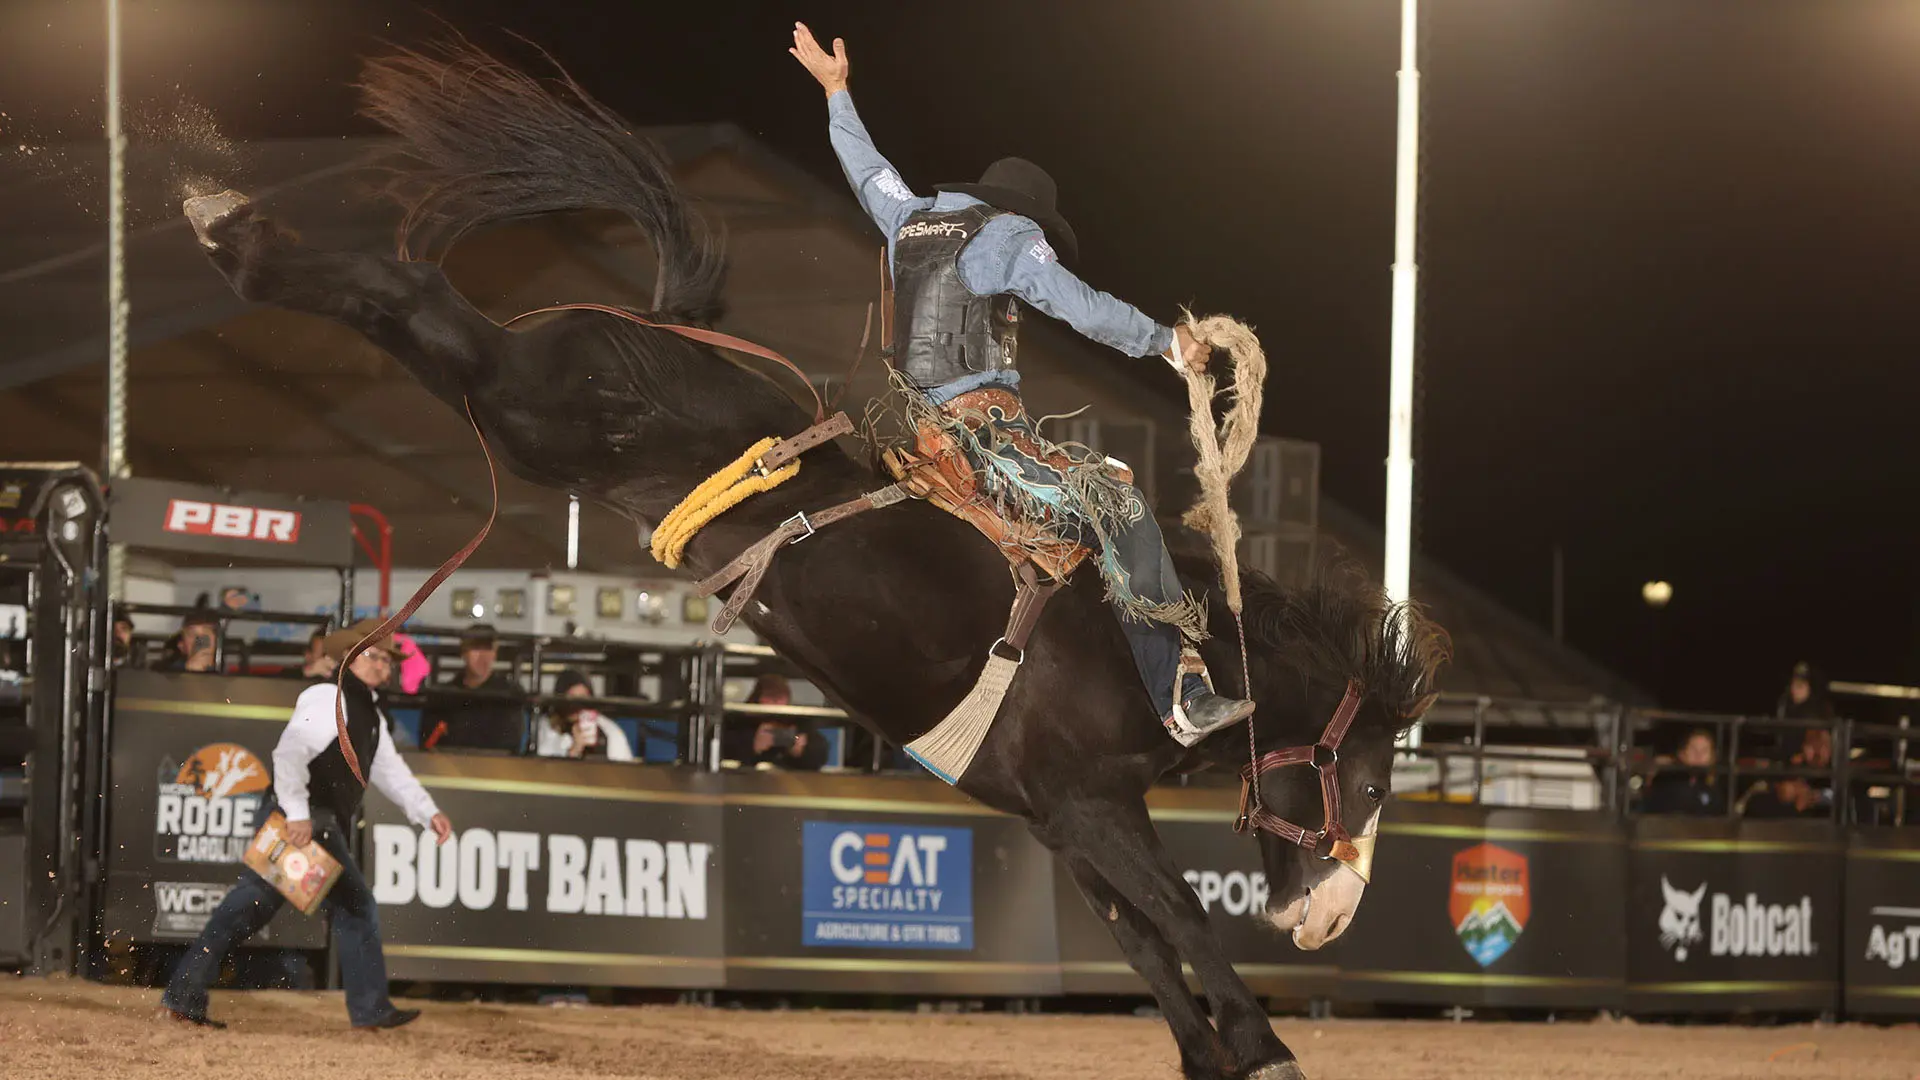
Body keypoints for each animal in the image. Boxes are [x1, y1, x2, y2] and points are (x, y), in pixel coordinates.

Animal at [180, 42, 1443, 1076]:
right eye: (1378, 781)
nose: (1329, 921)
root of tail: (655, 327)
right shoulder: (1094, 804)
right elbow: (1180, 920)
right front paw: (1267, 1047)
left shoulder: (1061, 820)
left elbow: (1138, 944)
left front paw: (1214, 1052)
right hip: (535, 401)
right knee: (414, 302)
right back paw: (228, 225)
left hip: (531, 416)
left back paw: (223, 220)